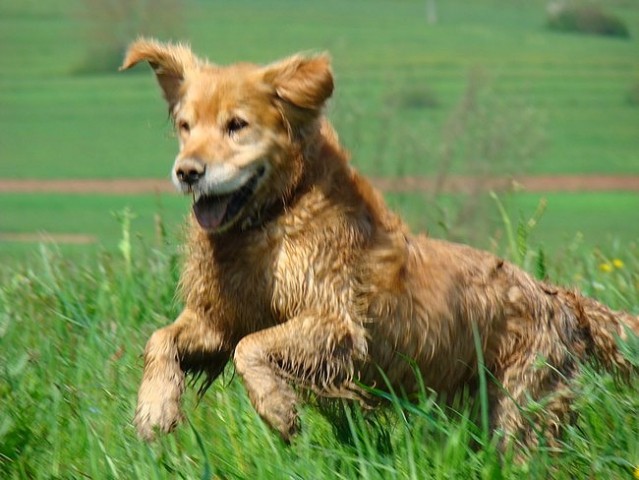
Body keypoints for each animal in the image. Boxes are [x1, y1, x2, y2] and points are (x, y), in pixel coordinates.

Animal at [121, 36, 639, 450]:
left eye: (236, 125)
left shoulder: (337, 322)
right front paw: (155, 409)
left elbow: (251, 346)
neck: (279, 212)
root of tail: (560, 298)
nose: (187, 172)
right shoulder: (221, 319)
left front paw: (278, 409)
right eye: (186, 126)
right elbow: (161, 337)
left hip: (521, 406)